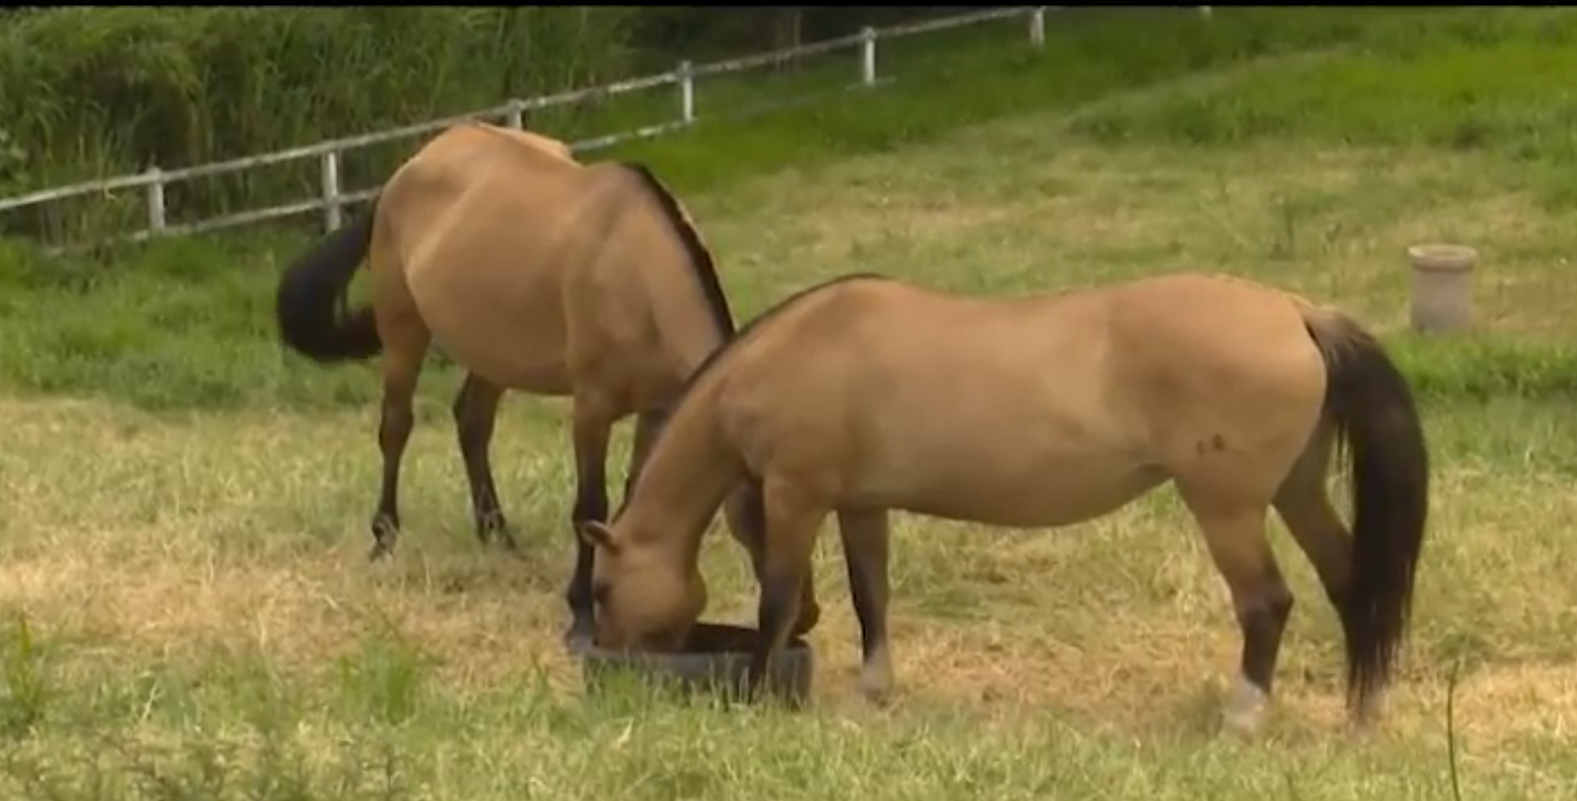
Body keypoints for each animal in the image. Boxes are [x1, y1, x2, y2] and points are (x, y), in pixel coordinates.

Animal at [269, 122, 801, 646]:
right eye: (756, 526)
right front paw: (581, 611)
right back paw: (385, 538)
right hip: (403, 327)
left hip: (491, 348)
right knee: (396, 427)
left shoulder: (657, 408)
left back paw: (496, 533)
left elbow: (631, 497)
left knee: (472, 422)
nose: (799, 617)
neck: (637, 272)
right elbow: (590, 506)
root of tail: (408, 170)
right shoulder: (592, 407)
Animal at [577, 272, 1431, 734]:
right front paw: (874, 689)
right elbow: (869, 593)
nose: (614, 663)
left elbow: (777, 600)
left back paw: (1244, 714)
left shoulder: (797, 494)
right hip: (1295, 490)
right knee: (1350, 584)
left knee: (1266, 602)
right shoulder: (861, 505)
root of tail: (1296, 312)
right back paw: (1362, 711)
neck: (800, 351)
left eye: (603, 587)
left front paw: (755, 692)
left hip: (1226, 507)